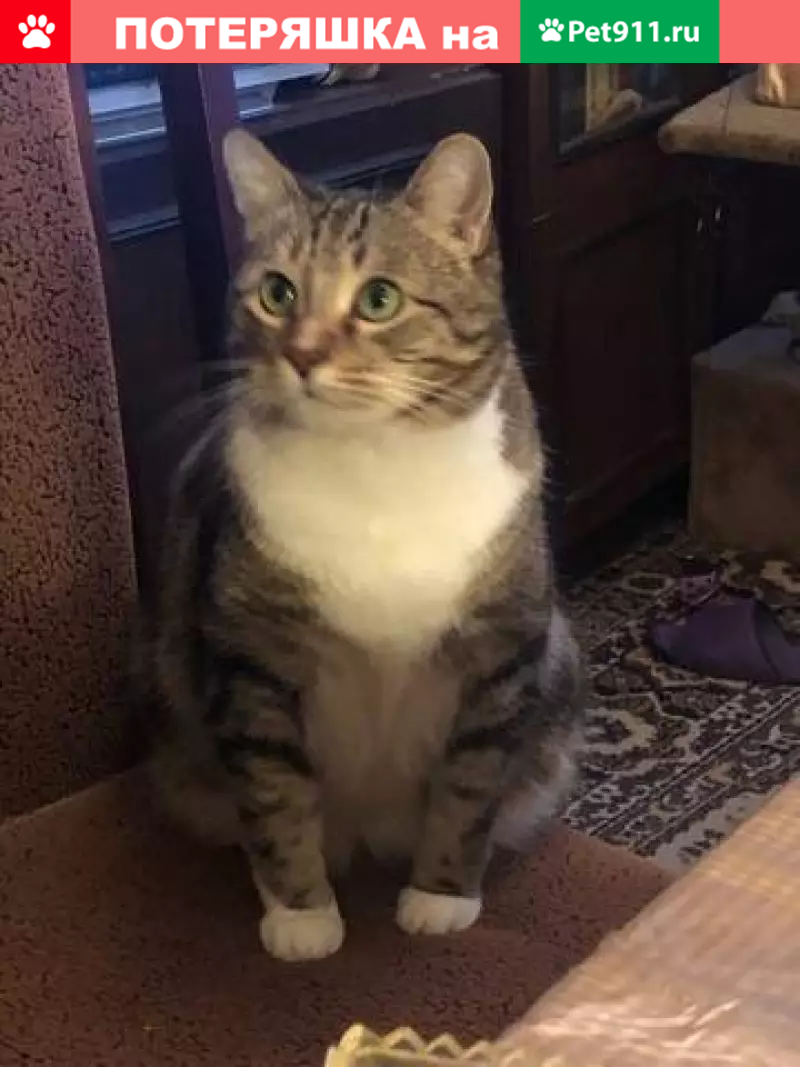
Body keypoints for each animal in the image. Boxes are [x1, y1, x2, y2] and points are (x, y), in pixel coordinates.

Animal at [149, 129, 585, 962]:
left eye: (379, 299)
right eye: (278, 292)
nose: (302, 354)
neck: (375, 466)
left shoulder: (501, 647)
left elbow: (470, 784)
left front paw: (441, 896)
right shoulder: (252, 656)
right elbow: (275, 793)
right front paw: (301, 914)